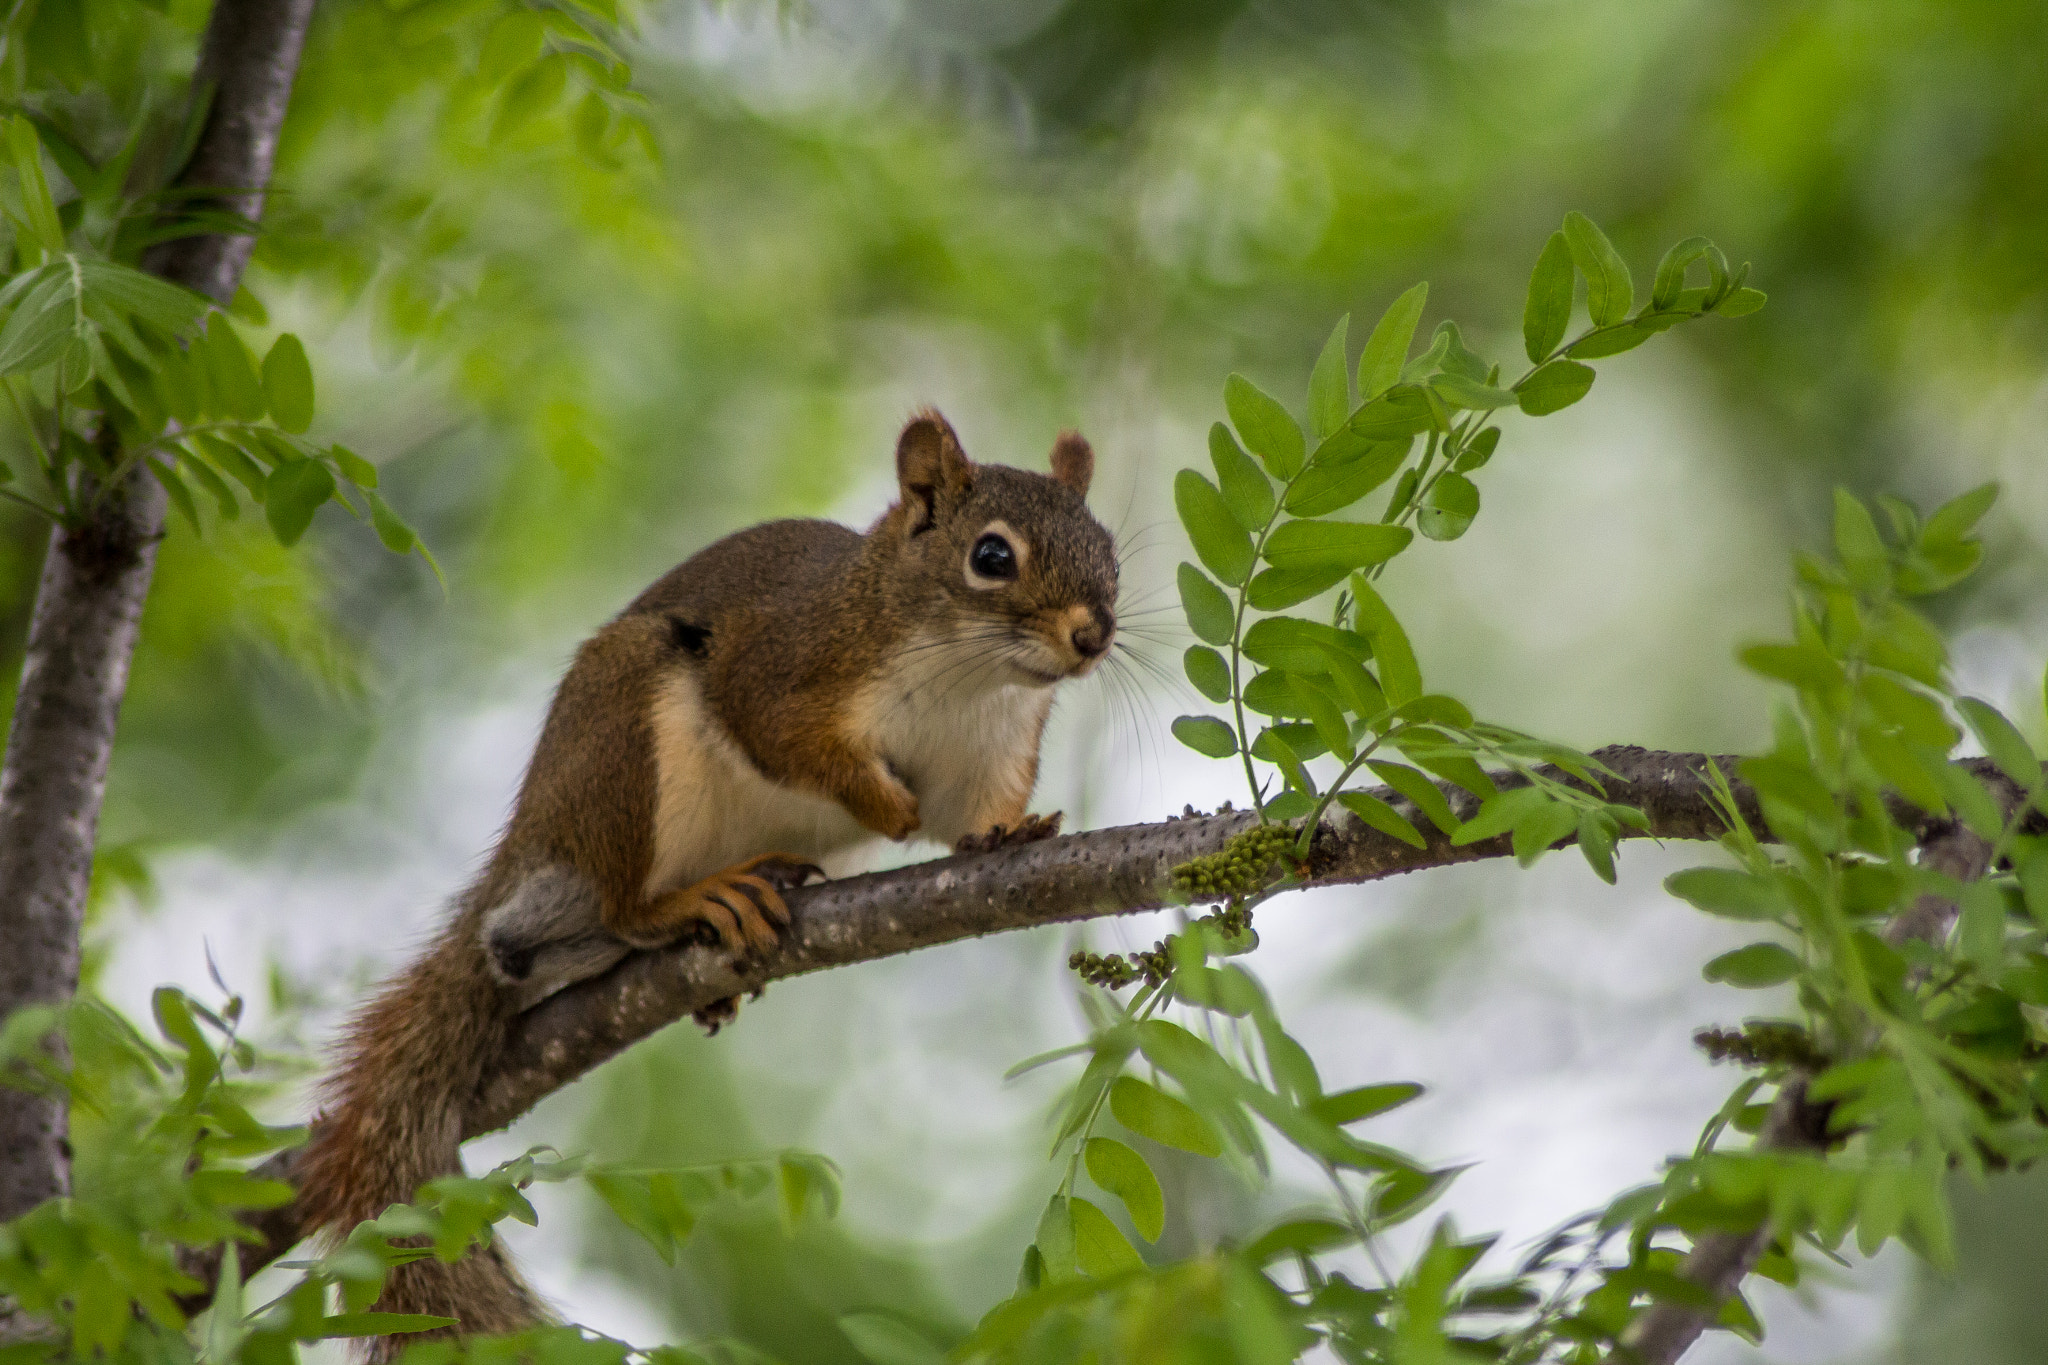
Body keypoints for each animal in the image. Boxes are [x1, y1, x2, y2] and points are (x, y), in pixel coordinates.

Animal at [295, 410, 1118, 1357]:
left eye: (1108, 547)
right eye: (991, 555)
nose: (1094, 636)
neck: (963, 670)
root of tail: (536, 830)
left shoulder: (990, 752)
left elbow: (972, 816)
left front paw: (1007, 832)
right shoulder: (778, 669)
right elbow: (792, 743)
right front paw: (883, 801)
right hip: (624, 748)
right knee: (622, 904)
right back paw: (690, 903)